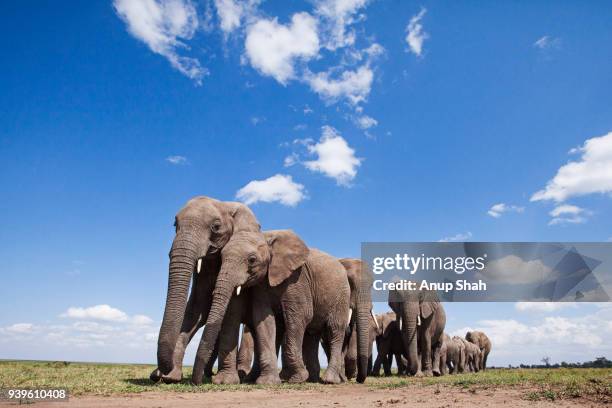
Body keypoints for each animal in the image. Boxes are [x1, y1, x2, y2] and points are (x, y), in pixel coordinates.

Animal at [152, 196, 262, 384]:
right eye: (175, 224)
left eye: (216, 227)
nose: (157, 375)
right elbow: (197, 307)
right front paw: (169, 376)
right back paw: (209, 373)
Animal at [189, 230, 352, 386]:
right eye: (221, 258)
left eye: (252, 260)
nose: (198, 382)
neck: (266, 238)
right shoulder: (261, 285)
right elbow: (264, 320)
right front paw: (268, 382)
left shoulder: (297, 279)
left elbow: (300, 316)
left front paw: (298, 378)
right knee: (312, 335)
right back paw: (312, 379)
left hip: (342, 296)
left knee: (335, 330)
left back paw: (329, 380)